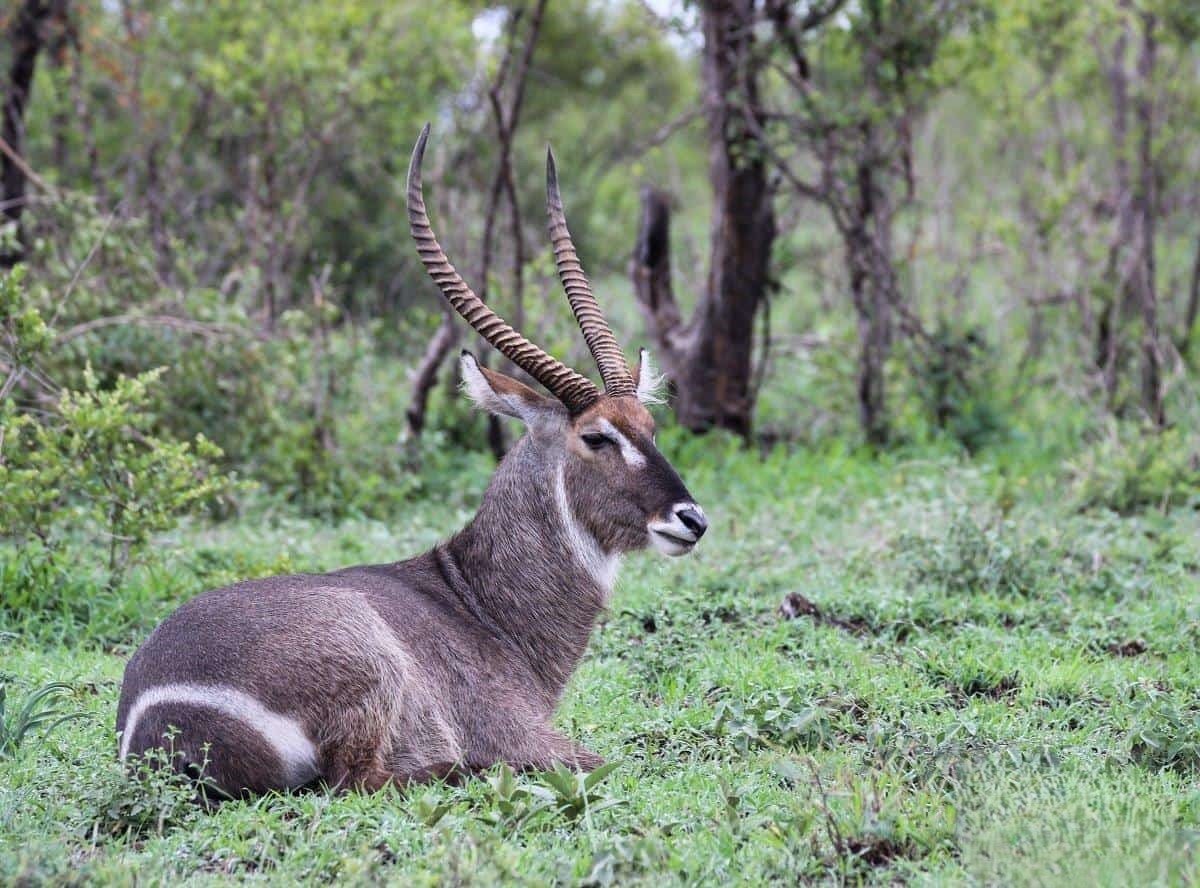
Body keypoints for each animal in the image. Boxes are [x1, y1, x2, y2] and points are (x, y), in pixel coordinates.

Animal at [117, 126, 705, 796]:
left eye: (649, 427)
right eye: (597, 437)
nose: (691, 519)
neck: (478, 603)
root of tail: (157, 719)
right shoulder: (531, 735)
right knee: (365, 779)